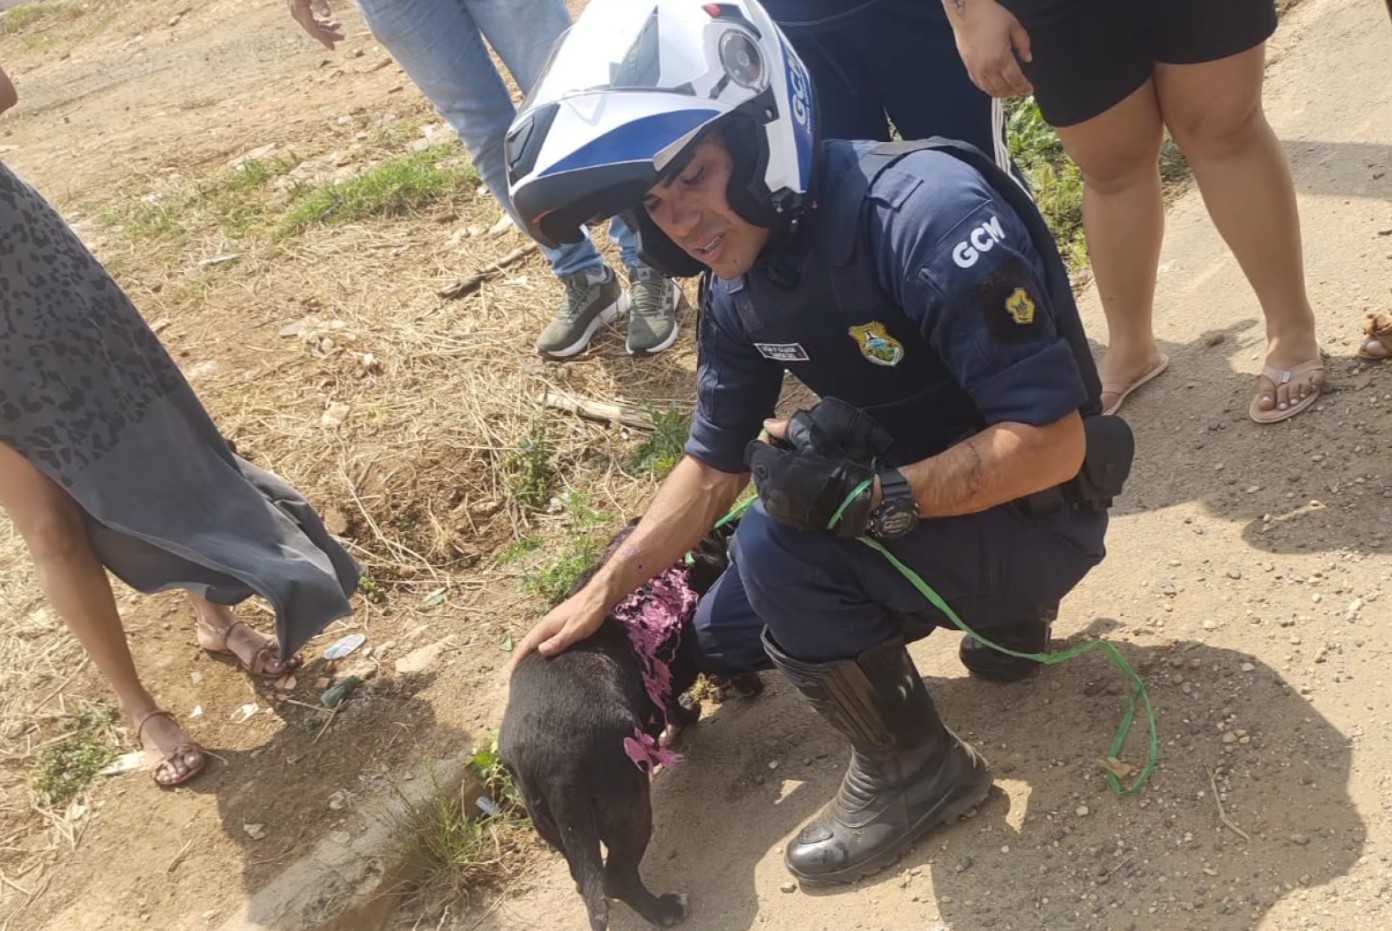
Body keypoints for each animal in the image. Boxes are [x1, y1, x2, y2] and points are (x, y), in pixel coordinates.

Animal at [498, 520, 740, 924]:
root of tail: (556, 766)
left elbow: (671, 704)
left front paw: (687, 713)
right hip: (629, 807)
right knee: (618, 877)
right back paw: (664, 910)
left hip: (552, 825)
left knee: (586, 879)